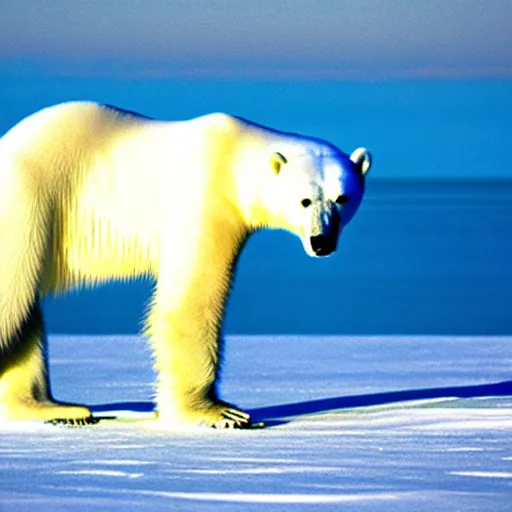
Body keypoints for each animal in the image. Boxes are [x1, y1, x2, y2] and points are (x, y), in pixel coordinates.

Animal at [0, 103, 370, 428]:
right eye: (304, 200)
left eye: (342, 198)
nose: (322, 242)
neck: (232, 154)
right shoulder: (205, 199)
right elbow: (192, 301)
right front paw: (219, 414)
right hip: (29, 201)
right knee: (12, 299)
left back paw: (54, 408)